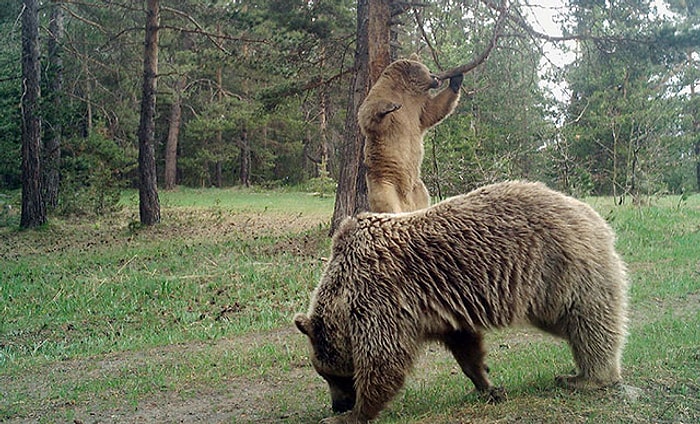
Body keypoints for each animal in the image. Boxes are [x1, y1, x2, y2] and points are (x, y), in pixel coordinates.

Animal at [292, 181, 632, 424]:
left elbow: (384, 358)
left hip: (561, 269)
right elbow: (465, 347)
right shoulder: (441, 311)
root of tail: (592, 214)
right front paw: (488, 386)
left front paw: (353, 415)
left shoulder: (380, 296)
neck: (343, 289)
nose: (338, 405)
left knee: (590, 324)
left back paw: (586, 378)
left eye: (331, 374)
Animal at [358, 56, 462, 214]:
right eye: (427, 69)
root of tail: (407, 205)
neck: (405, 90)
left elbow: (433, 111)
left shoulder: (417, 108)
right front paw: (388, 107)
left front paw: (456, 80)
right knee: (387, 203)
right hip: (385, 182)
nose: (436, 78)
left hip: (418, 189)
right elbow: (367, 115)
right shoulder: (382, 95)